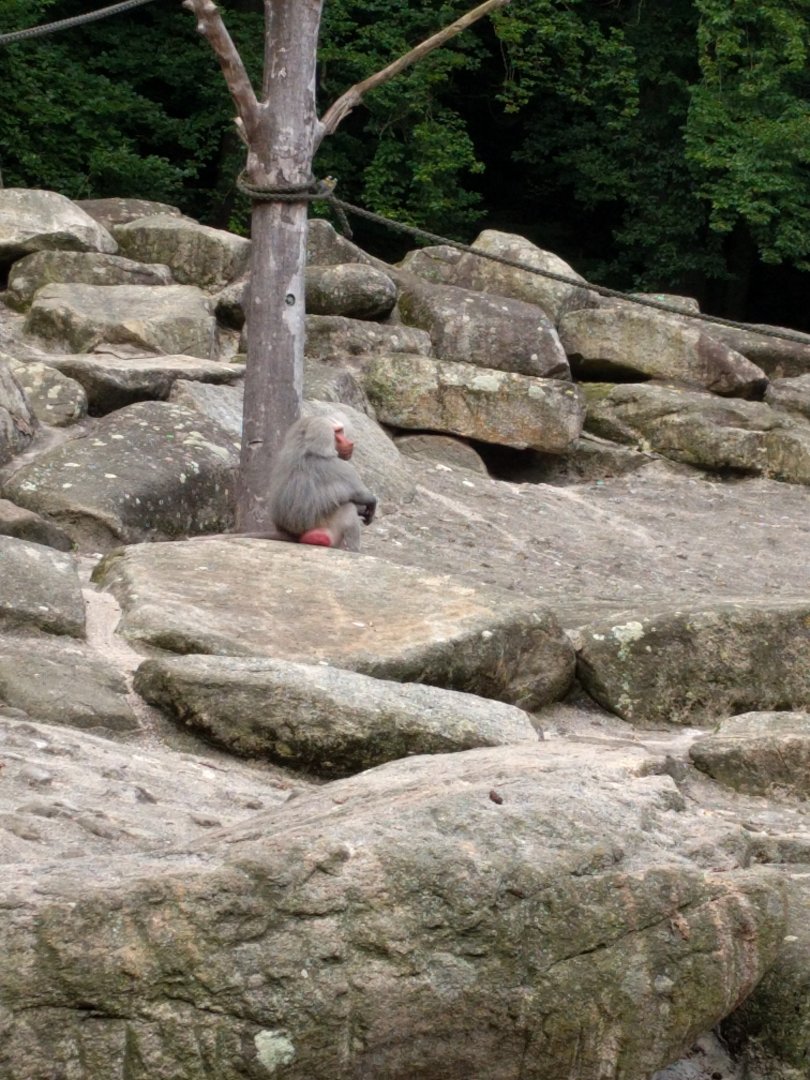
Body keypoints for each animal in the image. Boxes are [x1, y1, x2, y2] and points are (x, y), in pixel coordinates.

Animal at [267, 414, 377, 552]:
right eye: (337, 432)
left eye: (341, 431)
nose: (350, 443)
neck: (305, 448)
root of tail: (293, 536)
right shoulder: (339, 466)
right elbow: (359, 494)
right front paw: (371, 503)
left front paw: (363, 510)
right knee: (348, 508)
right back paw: (352, 549)